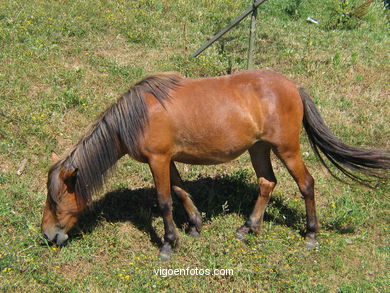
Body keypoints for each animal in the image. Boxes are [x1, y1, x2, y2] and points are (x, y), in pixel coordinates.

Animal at [41, 69, 388, 258]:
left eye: (56, 202)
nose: (47, 236)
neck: (137, 117)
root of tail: (294, 87)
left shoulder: (158, 160)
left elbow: (164, 200)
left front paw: (169, 243)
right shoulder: (168, 160)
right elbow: (180, 191)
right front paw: (195, 225)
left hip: (287, 149)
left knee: (306, 184)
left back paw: (311, 235)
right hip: (259, 149)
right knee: (267, 183)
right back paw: (248, 228)